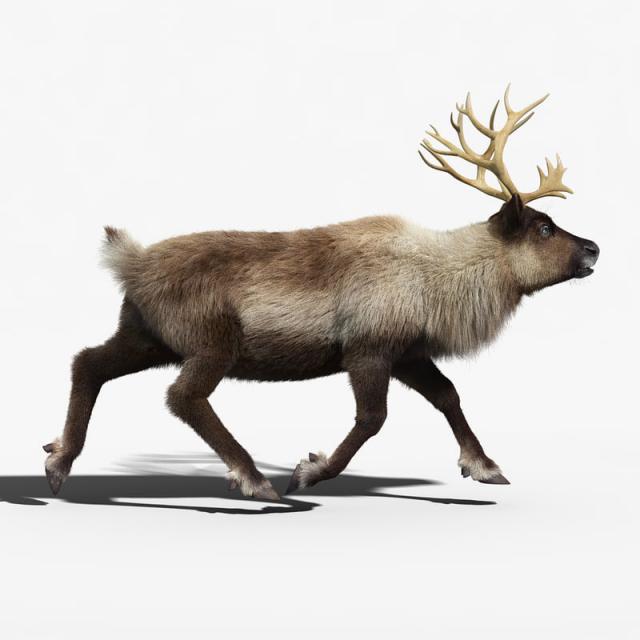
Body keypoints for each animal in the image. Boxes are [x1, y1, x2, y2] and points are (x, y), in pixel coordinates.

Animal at [43, 86, 599, 501]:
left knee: (87, 362)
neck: (441, 280)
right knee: (183, 396)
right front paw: (310, 470)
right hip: (211, 341)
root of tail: (130, 262)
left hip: (145, 334)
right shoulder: (368, 349)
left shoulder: (408, 351)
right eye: (544, 227)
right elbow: (373, 419)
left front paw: (483, 465)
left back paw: (60, 460)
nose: (594, 248)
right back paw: (254, 479)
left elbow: (448, 394)